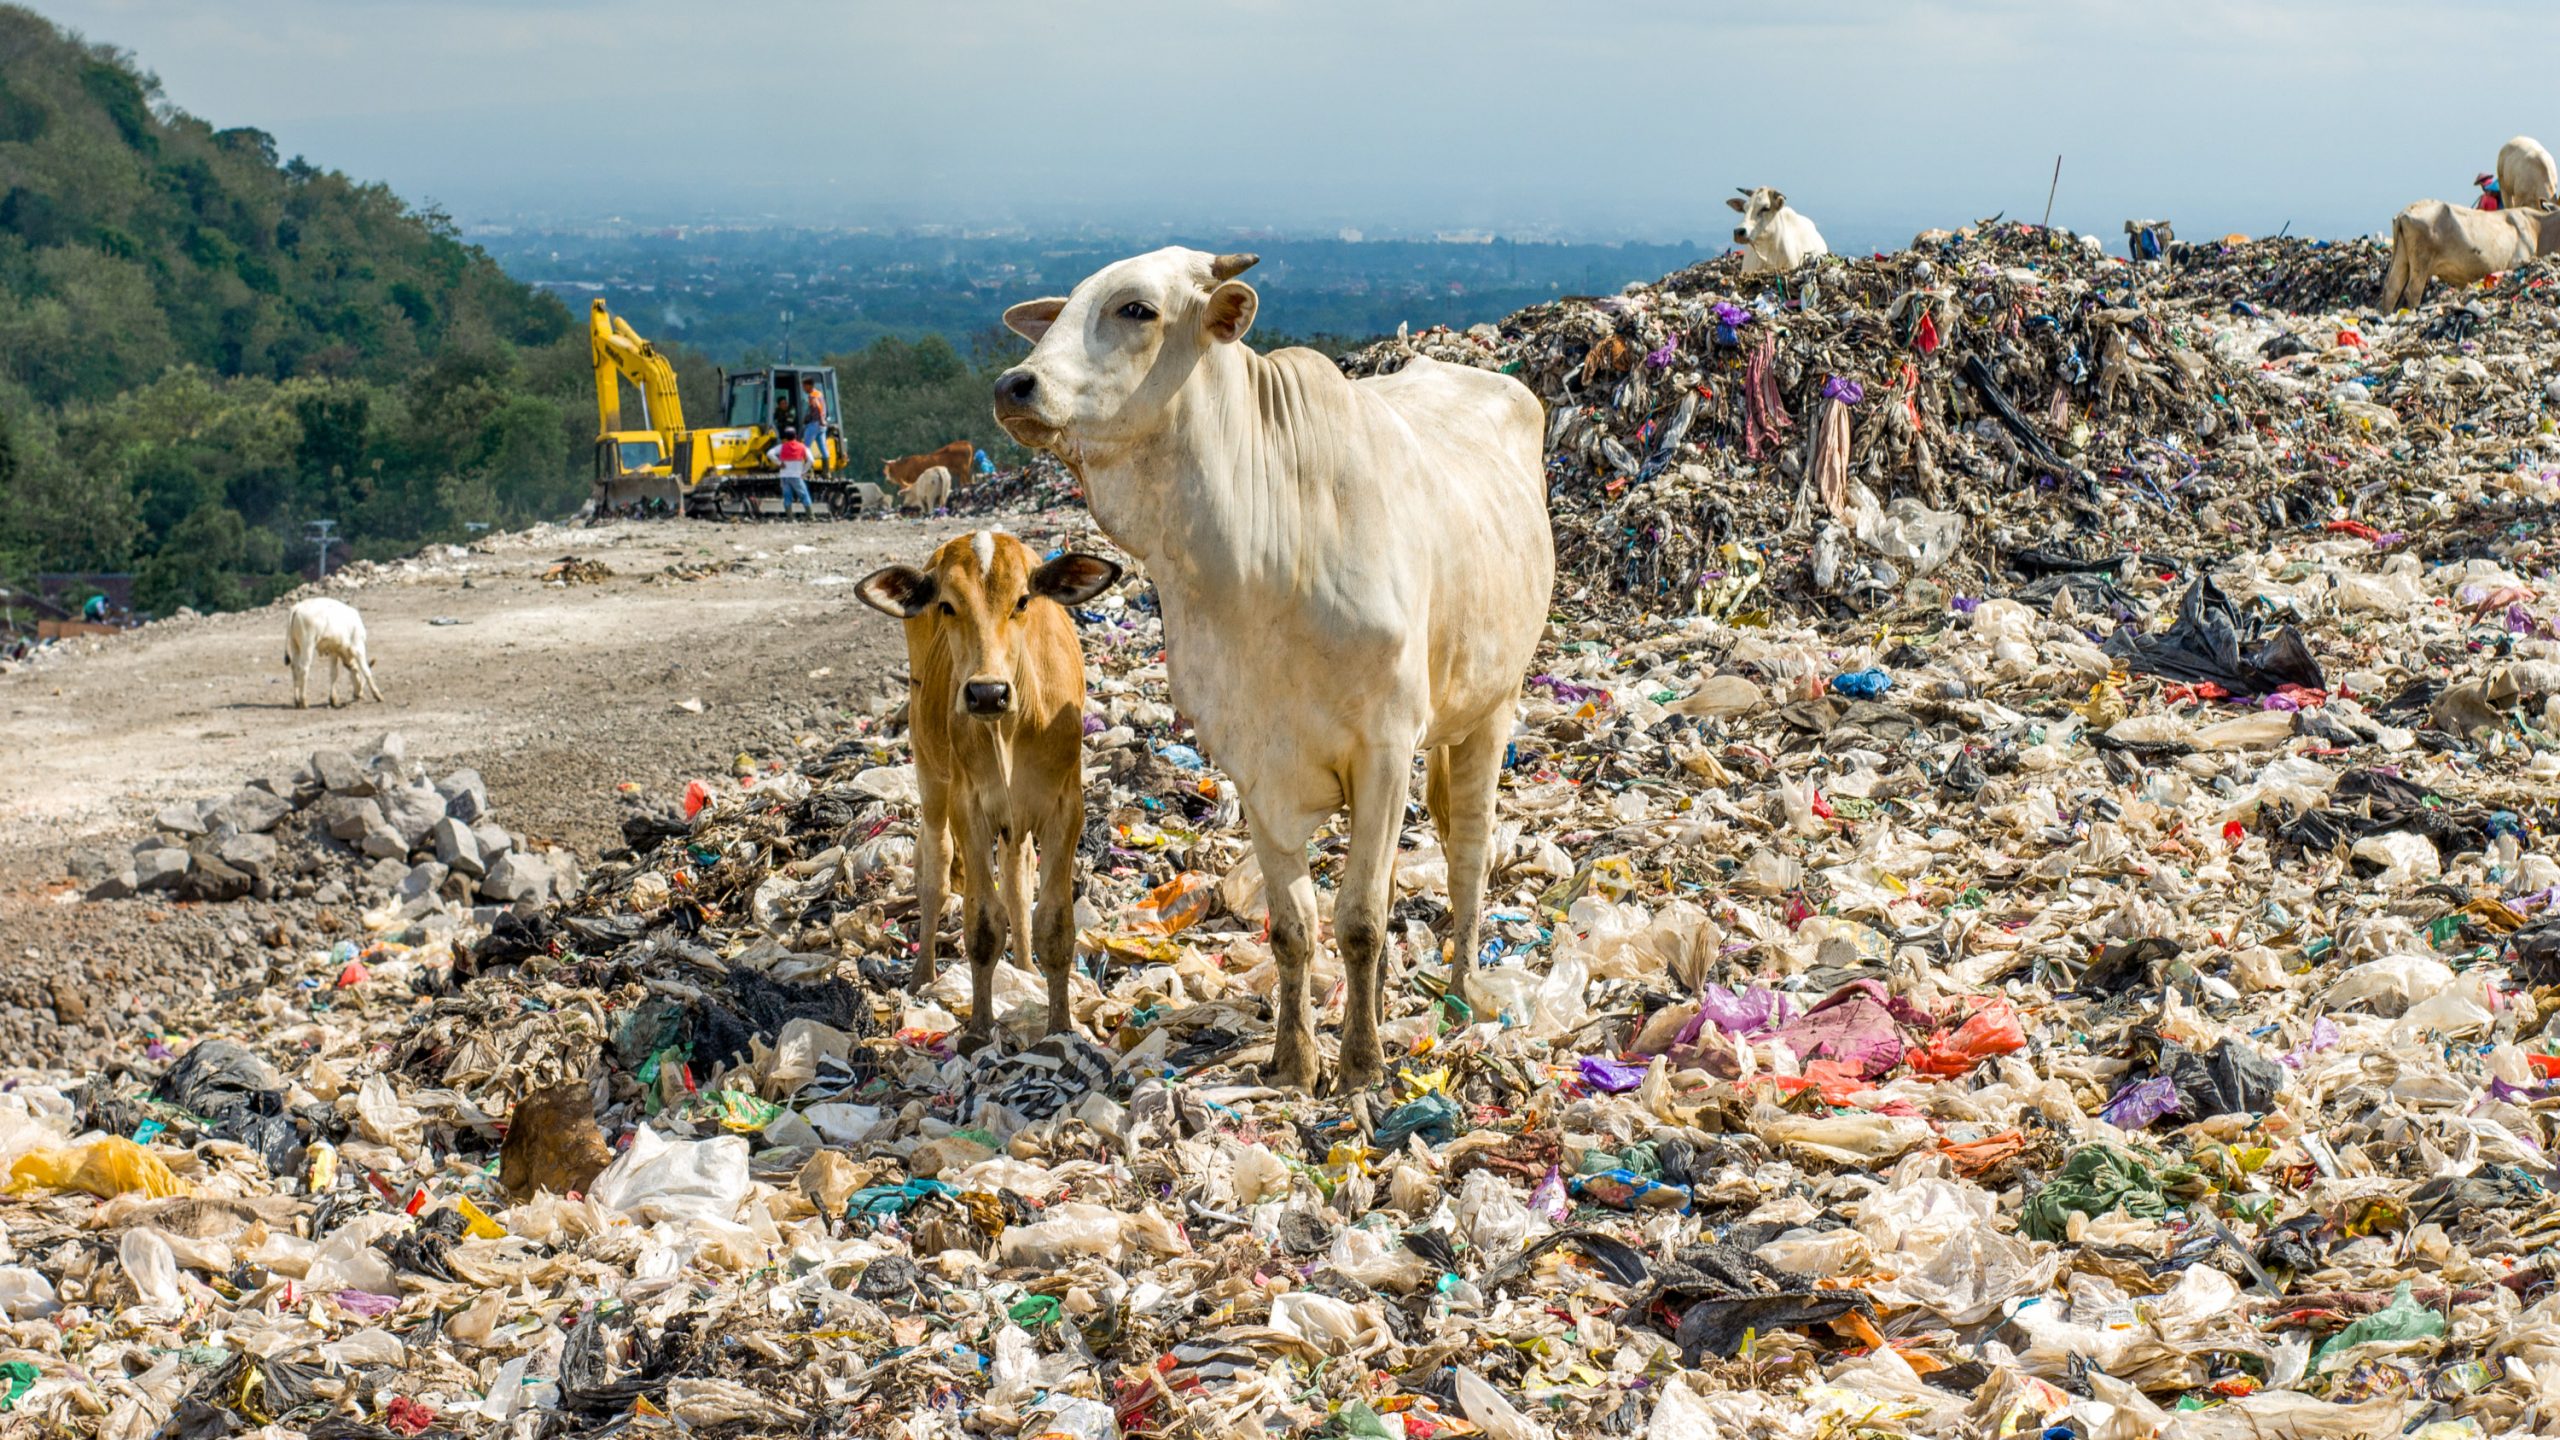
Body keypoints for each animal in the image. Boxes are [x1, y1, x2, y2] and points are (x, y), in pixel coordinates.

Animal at [860, 527, 1121, 1040]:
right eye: (946, 605)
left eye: (1022, 601)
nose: (986, 693)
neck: (1011, 725)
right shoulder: (969, 806)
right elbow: (982, 925)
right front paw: (980, 1030)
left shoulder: (1065, 806)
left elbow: (1052, 922)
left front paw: (1059, 1029)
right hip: (930, 772)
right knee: (936, 867)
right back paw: (924, 975)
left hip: (1016, 817)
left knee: (1018, 881)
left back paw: (1025, 969)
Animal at [983, 243, 1546, 1086]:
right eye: (1060, 311)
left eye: (1136, 309)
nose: (1015, 386)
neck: (1260, 559)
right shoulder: (1254, 765)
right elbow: (1294, 928)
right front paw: (1294, 1057)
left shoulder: (1385, 748)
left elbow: (1361, 920)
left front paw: (1361, 1064)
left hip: (1491, 705)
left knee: (1468, 856)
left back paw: (1458, 991)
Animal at [2365, 196, 2560, 311]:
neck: (2538, 227)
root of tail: (2405, 213)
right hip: (2421, 260)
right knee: (2412, 291)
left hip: (2402, 258)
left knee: (2392, 289)